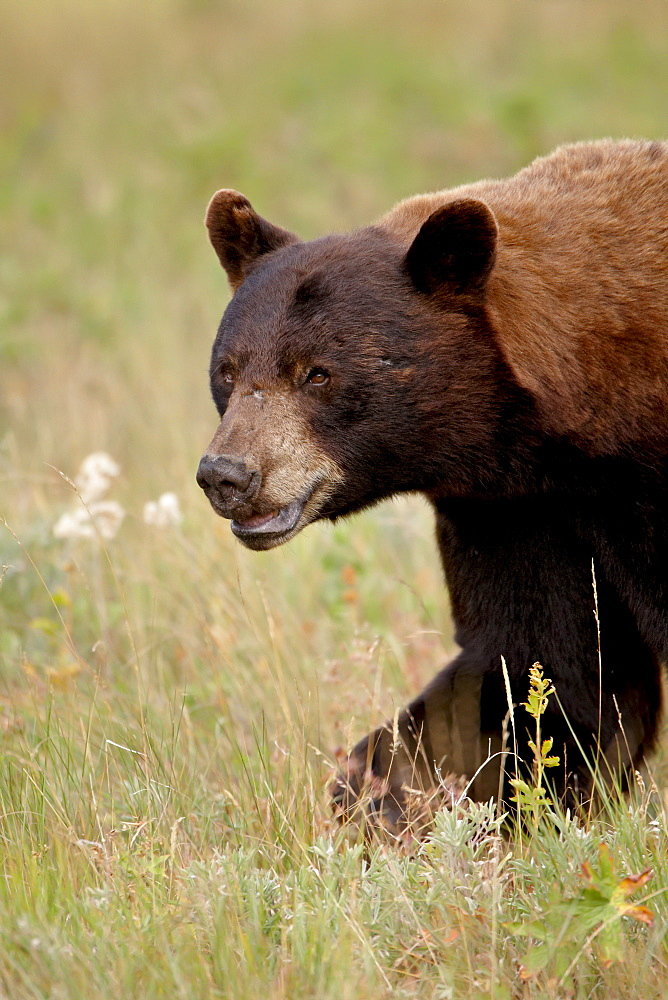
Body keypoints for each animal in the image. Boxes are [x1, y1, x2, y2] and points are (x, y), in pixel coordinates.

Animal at [197, 139, 668, 828]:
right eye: (228, 371)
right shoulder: (516, 510)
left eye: (317, 373)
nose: (227, 474)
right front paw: (383, 802)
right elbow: (541, 675)